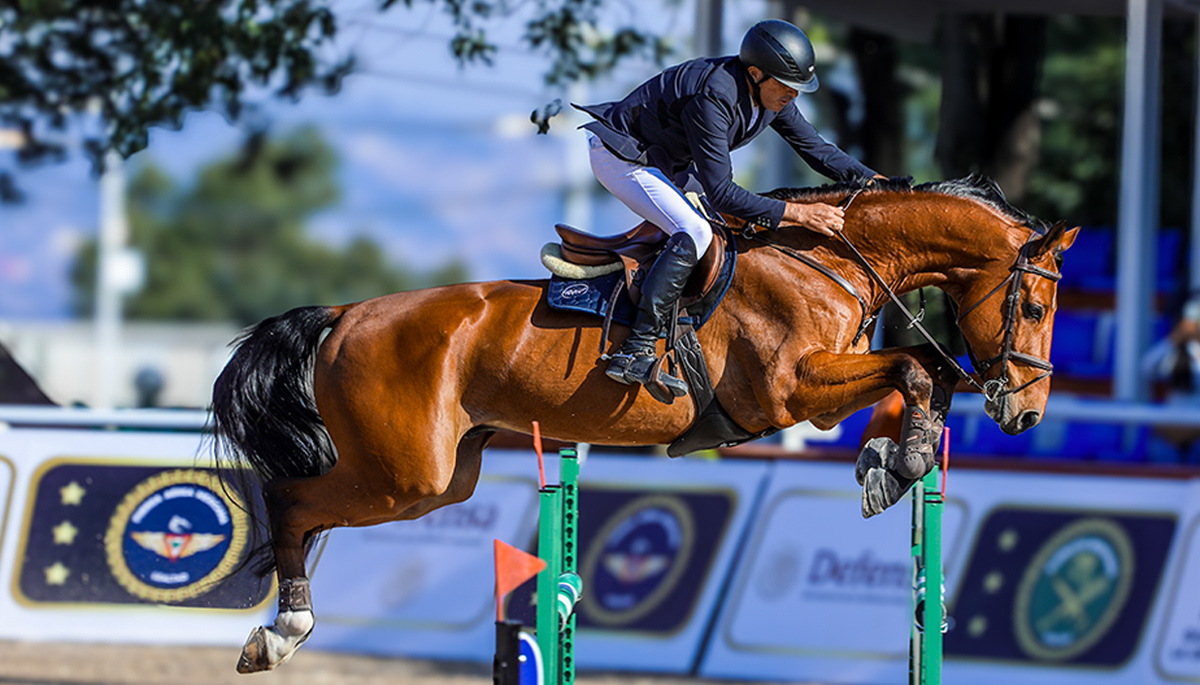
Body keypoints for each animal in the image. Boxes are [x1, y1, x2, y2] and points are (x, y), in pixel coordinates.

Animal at [210, 175, 1077, 672]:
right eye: (1036, 307)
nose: (1027, 412)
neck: (830, 256)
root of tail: (346, 313)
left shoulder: (820, 385)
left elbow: (926, 371)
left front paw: (885, 462)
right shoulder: (789, 392)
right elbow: (917, 368)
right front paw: (903, 462)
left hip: (442, 476)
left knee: (308, 506)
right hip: (403, 474)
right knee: (290, 502)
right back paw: (281, 628)